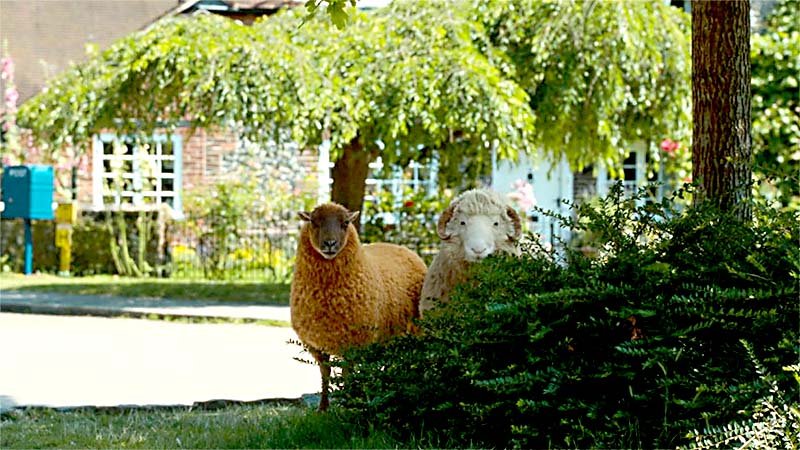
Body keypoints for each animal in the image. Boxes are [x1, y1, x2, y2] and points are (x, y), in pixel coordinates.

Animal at [290, 202, 427, 410]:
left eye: (345, 223)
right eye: (313, 222)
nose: (330, 244)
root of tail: (403, 248)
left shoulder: (354, 342)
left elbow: (347, 374)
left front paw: (349, 404)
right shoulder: (315, 345)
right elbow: (325, 374)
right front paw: (323, 408)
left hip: (414, 329)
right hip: (389, 335)